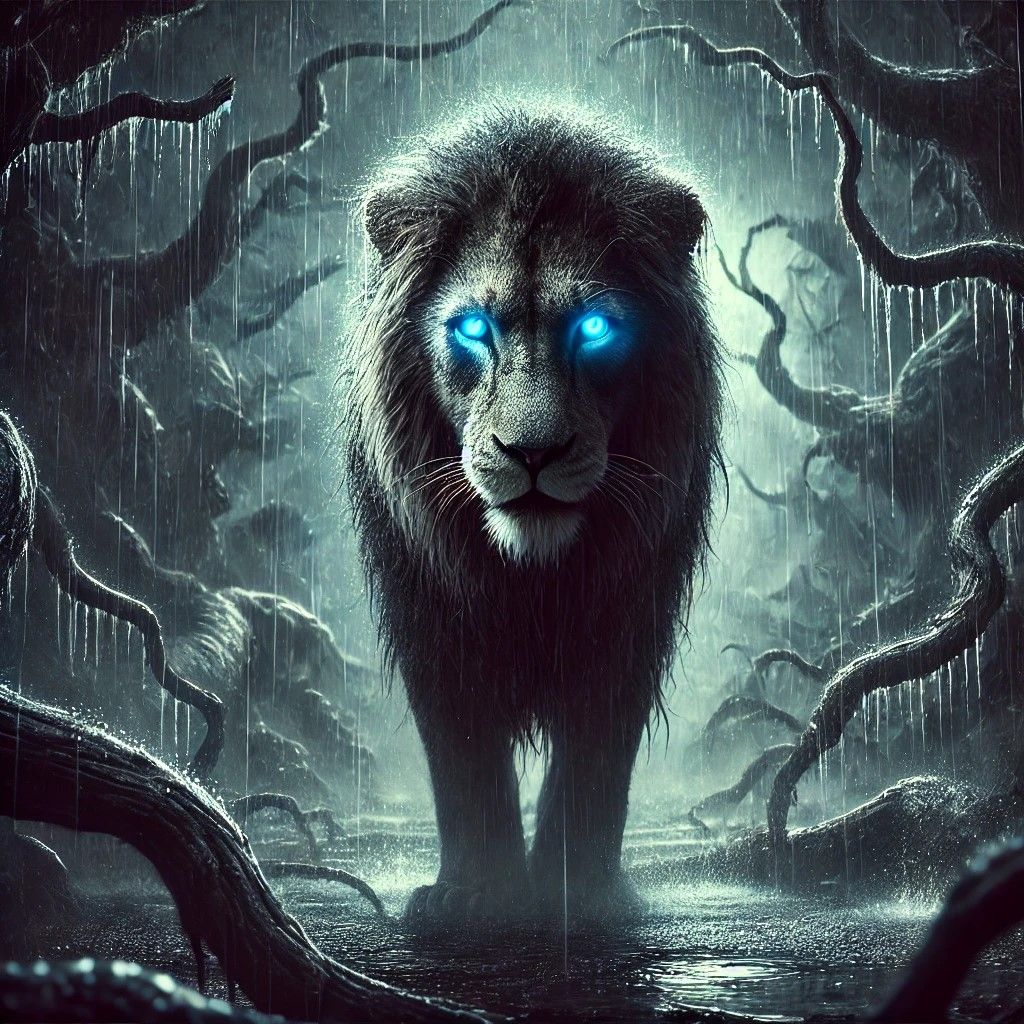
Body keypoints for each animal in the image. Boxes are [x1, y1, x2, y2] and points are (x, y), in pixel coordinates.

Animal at [345, 102, 722, 924]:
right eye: (473, 329)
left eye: (594, 329)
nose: (534, 453)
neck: (533, 577)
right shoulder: (433, 619)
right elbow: (465, 760)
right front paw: (476, 894)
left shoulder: (630, 618)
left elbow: (594, 759)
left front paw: (579, 896)